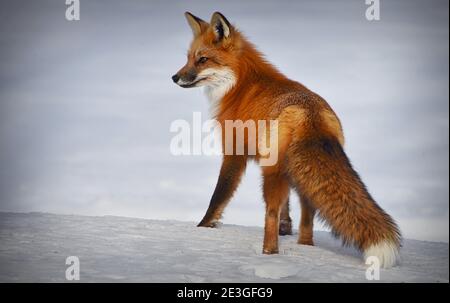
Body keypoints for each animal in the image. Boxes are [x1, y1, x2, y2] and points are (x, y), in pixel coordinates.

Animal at [172, 11, 400, 268]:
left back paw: (268, 253)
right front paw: (286, 228)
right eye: (188, 58)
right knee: (308, 214)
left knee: (270, 212)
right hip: (298, 173)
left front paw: (203, 227)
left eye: (202, 60)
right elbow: (287, 207)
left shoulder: (234, 152)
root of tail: (310, 114)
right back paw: (305, 245)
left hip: (271, 172)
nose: (174, 77)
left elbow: (219, 196)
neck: (240, 85)